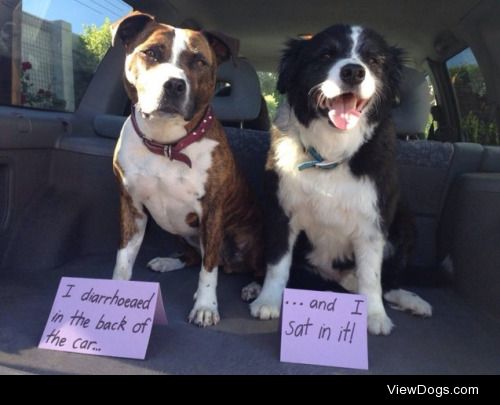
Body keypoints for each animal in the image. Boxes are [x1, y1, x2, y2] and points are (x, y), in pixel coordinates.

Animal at [248, 25, 432, 334]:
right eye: (326, 54)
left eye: (374, 60)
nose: (353, 72)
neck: (329, 154)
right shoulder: (279, 209)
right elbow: (278, 262)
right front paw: (268, 300)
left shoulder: (373, 220)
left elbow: (371, 276)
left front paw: (375, 315)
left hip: (405, 221)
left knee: (388, 282)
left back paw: (411, 300)